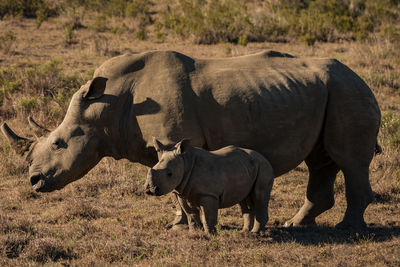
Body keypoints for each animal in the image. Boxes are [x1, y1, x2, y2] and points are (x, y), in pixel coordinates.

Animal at [145, 139, 276, 236]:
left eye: (169, 174)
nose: (150, 190)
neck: (186, 162)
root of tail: (264, 158)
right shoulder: (183, 192)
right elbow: (191, 215)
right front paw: (193, 233)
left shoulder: (208, 194)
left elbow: (208, 216)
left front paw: (209, 236)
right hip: (247, 167)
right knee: (244, 201)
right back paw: (244, 232)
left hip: (263, 167)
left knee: (259, 196)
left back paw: (255, 233)